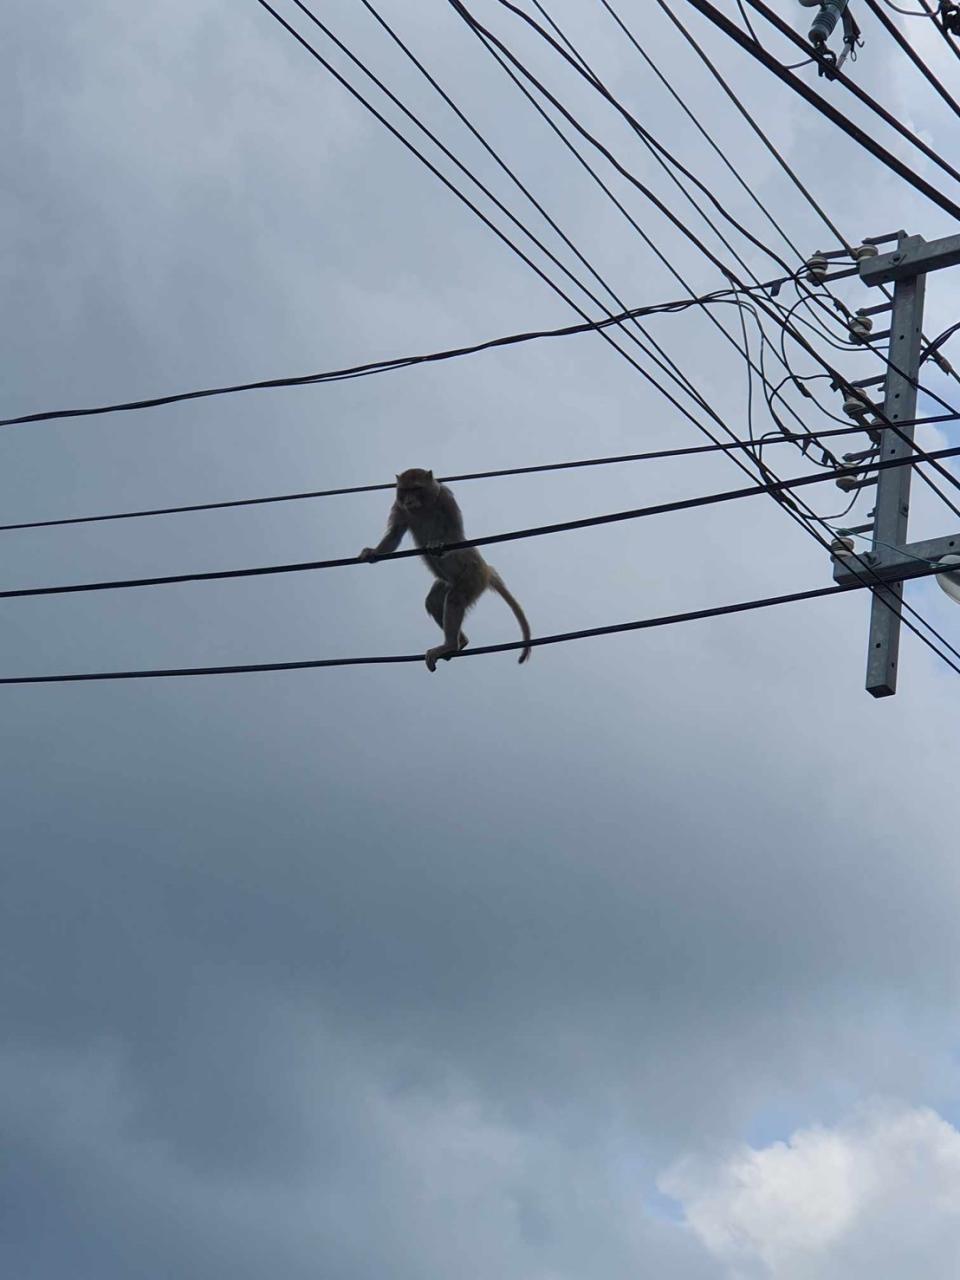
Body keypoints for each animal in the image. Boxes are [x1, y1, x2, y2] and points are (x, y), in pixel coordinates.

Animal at [358, 468, 529, 670]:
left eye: (416, 489)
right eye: (405, 490)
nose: (409, 500)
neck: (423, 506)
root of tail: (486, 569)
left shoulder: (445, 499)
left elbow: (454, 533)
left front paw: (437, 543)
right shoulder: (399, 508)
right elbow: (394, 535)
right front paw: (373, 552)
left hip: (472, 577)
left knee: (455, 598)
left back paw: (450, 644)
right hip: (449, 581)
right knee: (434, 601)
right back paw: (459, 642)